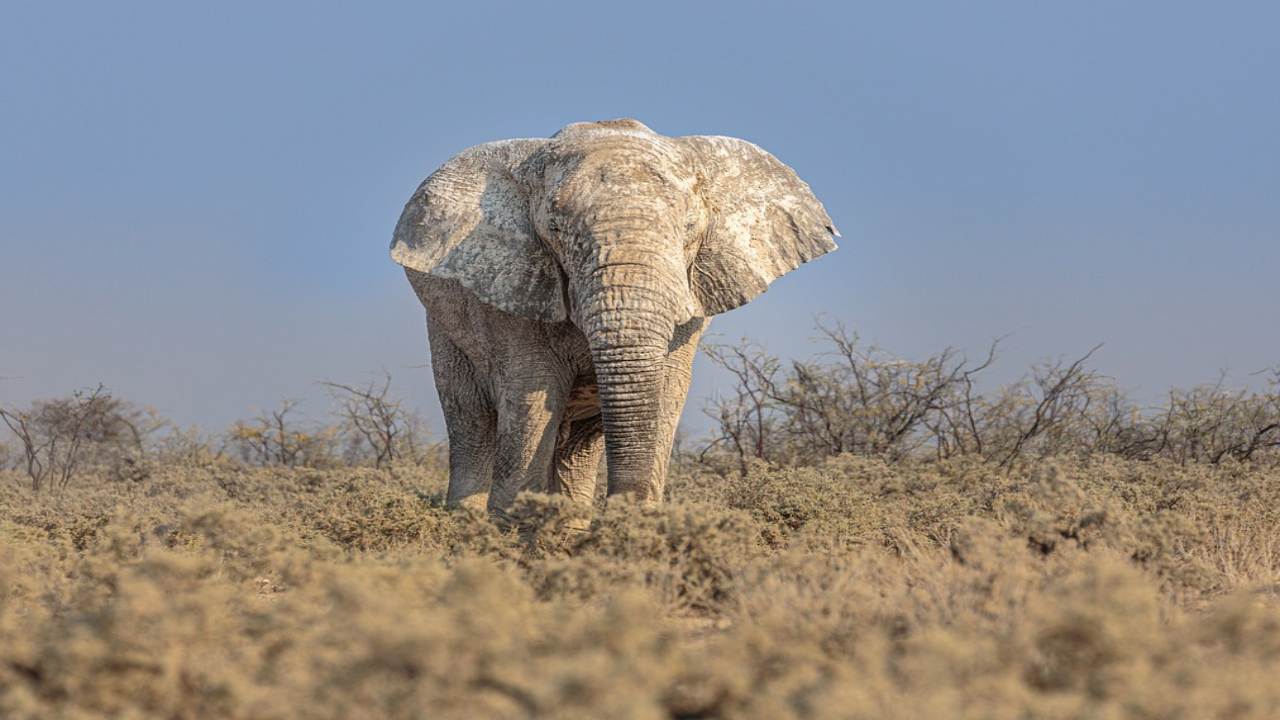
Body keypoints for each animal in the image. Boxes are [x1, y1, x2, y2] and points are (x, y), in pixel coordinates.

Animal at [391, 119, 839, 520]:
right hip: (445, 329)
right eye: (554, 229)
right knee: (471, 419)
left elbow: (667, 391)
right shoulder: (512, 288)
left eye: (690, 227)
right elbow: (532, 393)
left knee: (578, 444)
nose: (620, 515)